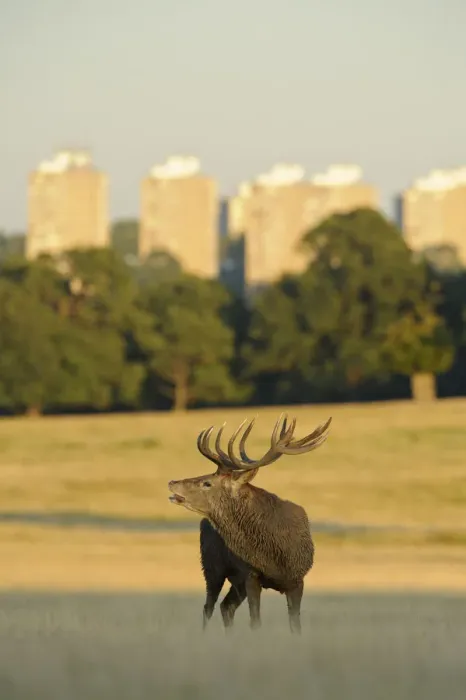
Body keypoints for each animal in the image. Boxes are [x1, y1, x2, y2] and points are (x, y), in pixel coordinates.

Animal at [168, 413, 332, 634]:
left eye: (207, 483)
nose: (172, 482)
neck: (273, 555)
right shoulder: (250, 575)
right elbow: (255, 622)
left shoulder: (298, 578)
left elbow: (295, 625)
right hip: (212, 566)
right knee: (208, 607)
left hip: (233, 579)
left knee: (226, 605)